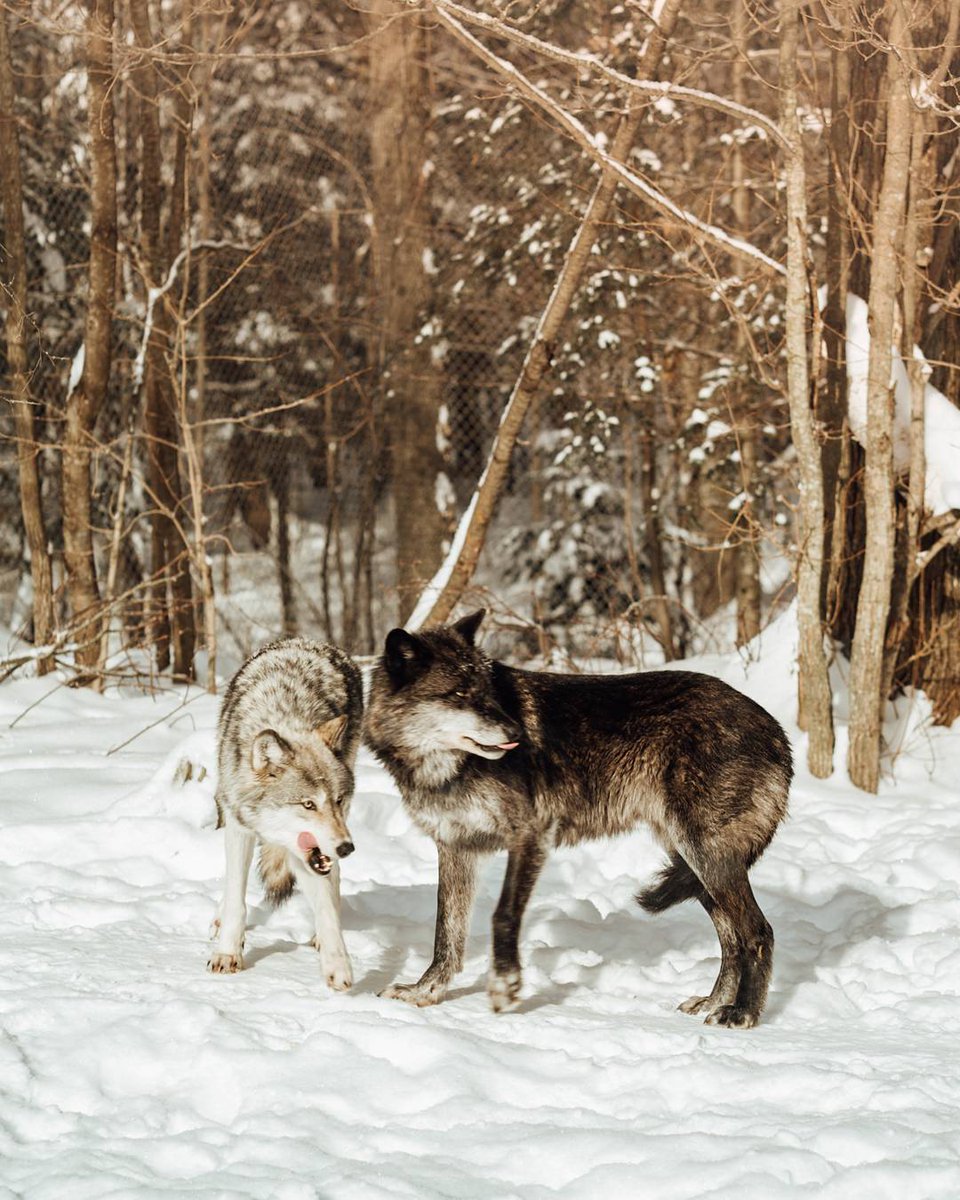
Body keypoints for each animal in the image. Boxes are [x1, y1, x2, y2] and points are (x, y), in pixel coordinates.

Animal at [208, 638, 363, 991]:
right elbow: (236, 898)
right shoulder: (238, 827)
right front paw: (227, 952)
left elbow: (325, 904)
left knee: (333, 881)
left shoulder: (314, 853)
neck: (287, 717)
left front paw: (337, 963)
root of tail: (306, 640)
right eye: (308, 805)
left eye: (336, 800)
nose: (347, 848)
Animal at [364, 610, 792, 1028]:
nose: (517, 731)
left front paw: (505, 986)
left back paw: (742, 1013)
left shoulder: (530, 836)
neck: (445, 768)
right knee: (732, 939)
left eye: (486, 691)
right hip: (696, 866)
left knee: (759, 932)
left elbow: (502, 915)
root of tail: (778, 733)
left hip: (706, 858)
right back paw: (714, 1002)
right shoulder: (456, 848)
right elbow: (446, 931)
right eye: (458, 695)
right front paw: (425, 992)